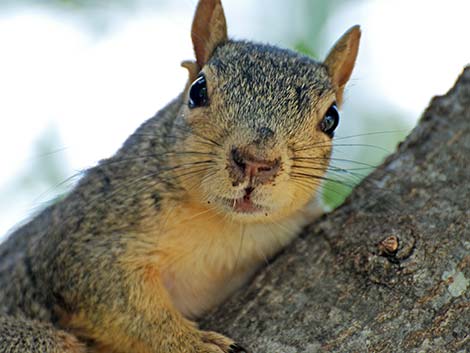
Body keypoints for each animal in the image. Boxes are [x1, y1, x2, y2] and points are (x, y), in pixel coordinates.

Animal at [0, 0, 362, 352]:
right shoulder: (86, 236)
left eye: (332, 118)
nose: (256, 162)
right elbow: (118, 299)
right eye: (198, 90)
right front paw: (191, 343)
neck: (227, 226)